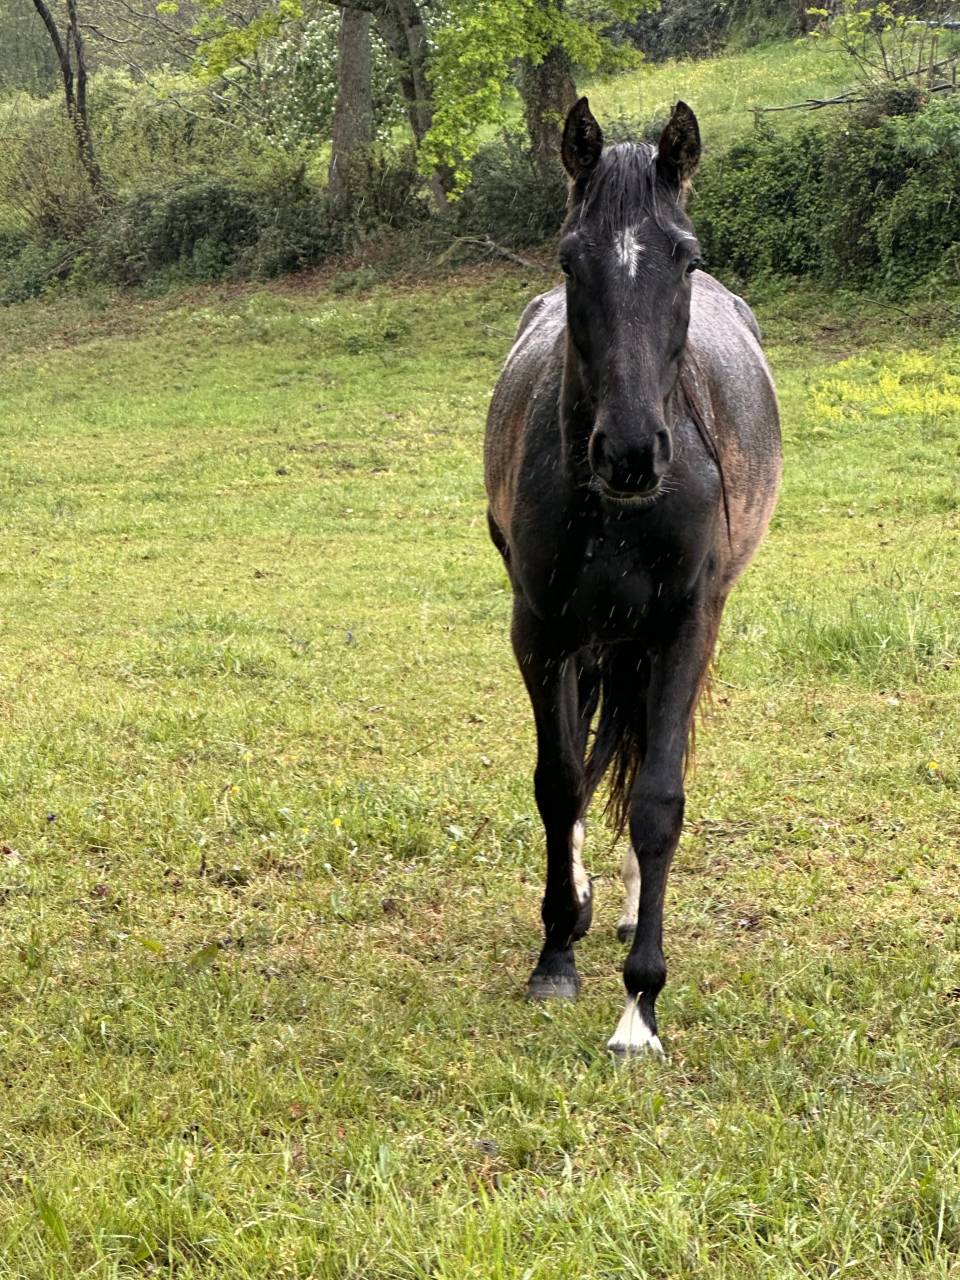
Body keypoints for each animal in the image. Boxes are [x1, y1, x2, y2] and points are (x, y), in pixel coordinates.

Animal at [484, 97, 782, 1056]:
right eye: (569, 258)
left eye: (685, 255)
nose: (628, 453)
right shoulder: (541, 630)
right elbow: (560, 782)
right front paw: (555, 954)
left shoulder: (684, 628)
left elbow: (656, 798)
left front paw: (639, 1005)